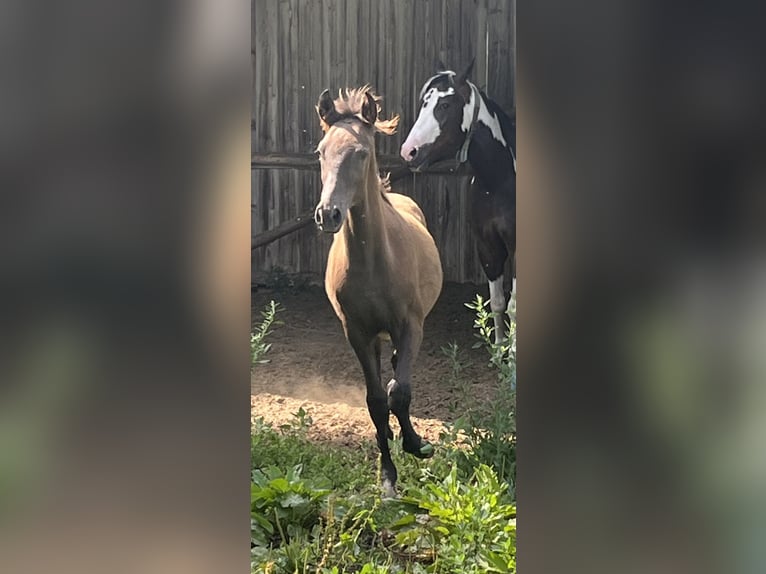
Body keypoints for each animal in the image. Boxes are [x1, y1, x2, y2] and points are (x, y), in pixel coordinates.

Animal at [313, 86, 444, 497]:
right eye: (320, 151)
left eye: (361, 152)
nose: (328, 214)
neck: (373, 263)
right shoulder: (357, 333)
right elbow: (375, 401)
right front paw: (387, 478)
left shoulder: (412, 326)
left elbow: (399, 392)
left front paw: (417, 445)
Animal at [400, 60, 516, 343]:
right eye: (424, 104)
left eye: (444, 105)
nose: (409, 152)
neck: (499, 181)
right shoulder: (488, 246)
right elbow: (498, 302)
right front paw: (499, 347)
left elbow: (514, 306)